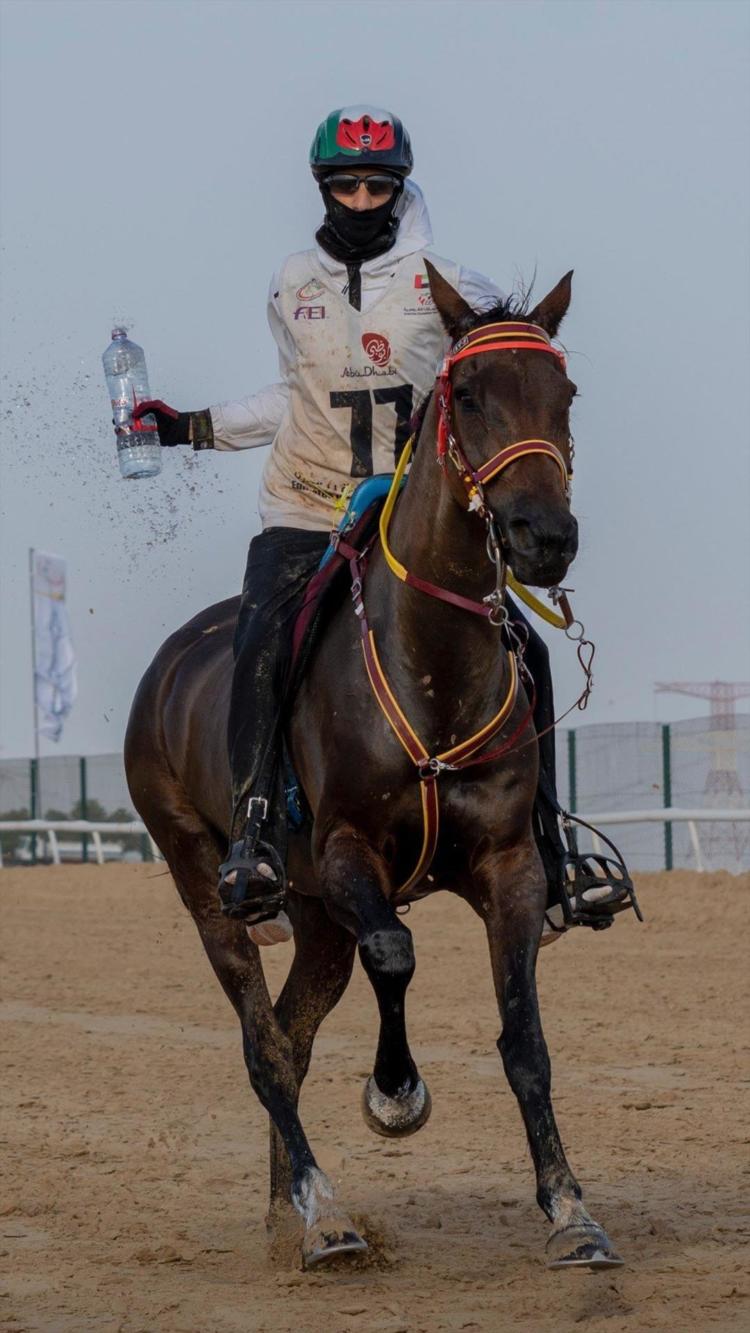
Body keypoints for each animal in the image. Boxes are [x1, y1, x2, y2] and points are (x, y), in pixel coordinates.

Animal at [125, 261, 624, 1271]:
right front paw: (396, 1093)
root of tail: (163, 671)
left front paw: (569, 1209)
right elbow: (395, 950)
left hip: (316, 918)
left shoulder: (509, 868)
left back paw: (292, 1211)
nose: (544, 535)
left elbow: (525, 1037)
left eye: (564, 396)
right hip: (211, 884)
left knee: (290, 1034)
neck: (430, 662)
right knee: (263, 1044)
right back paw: (325, 1214)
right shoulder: (353, 854)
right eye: (469, 395)